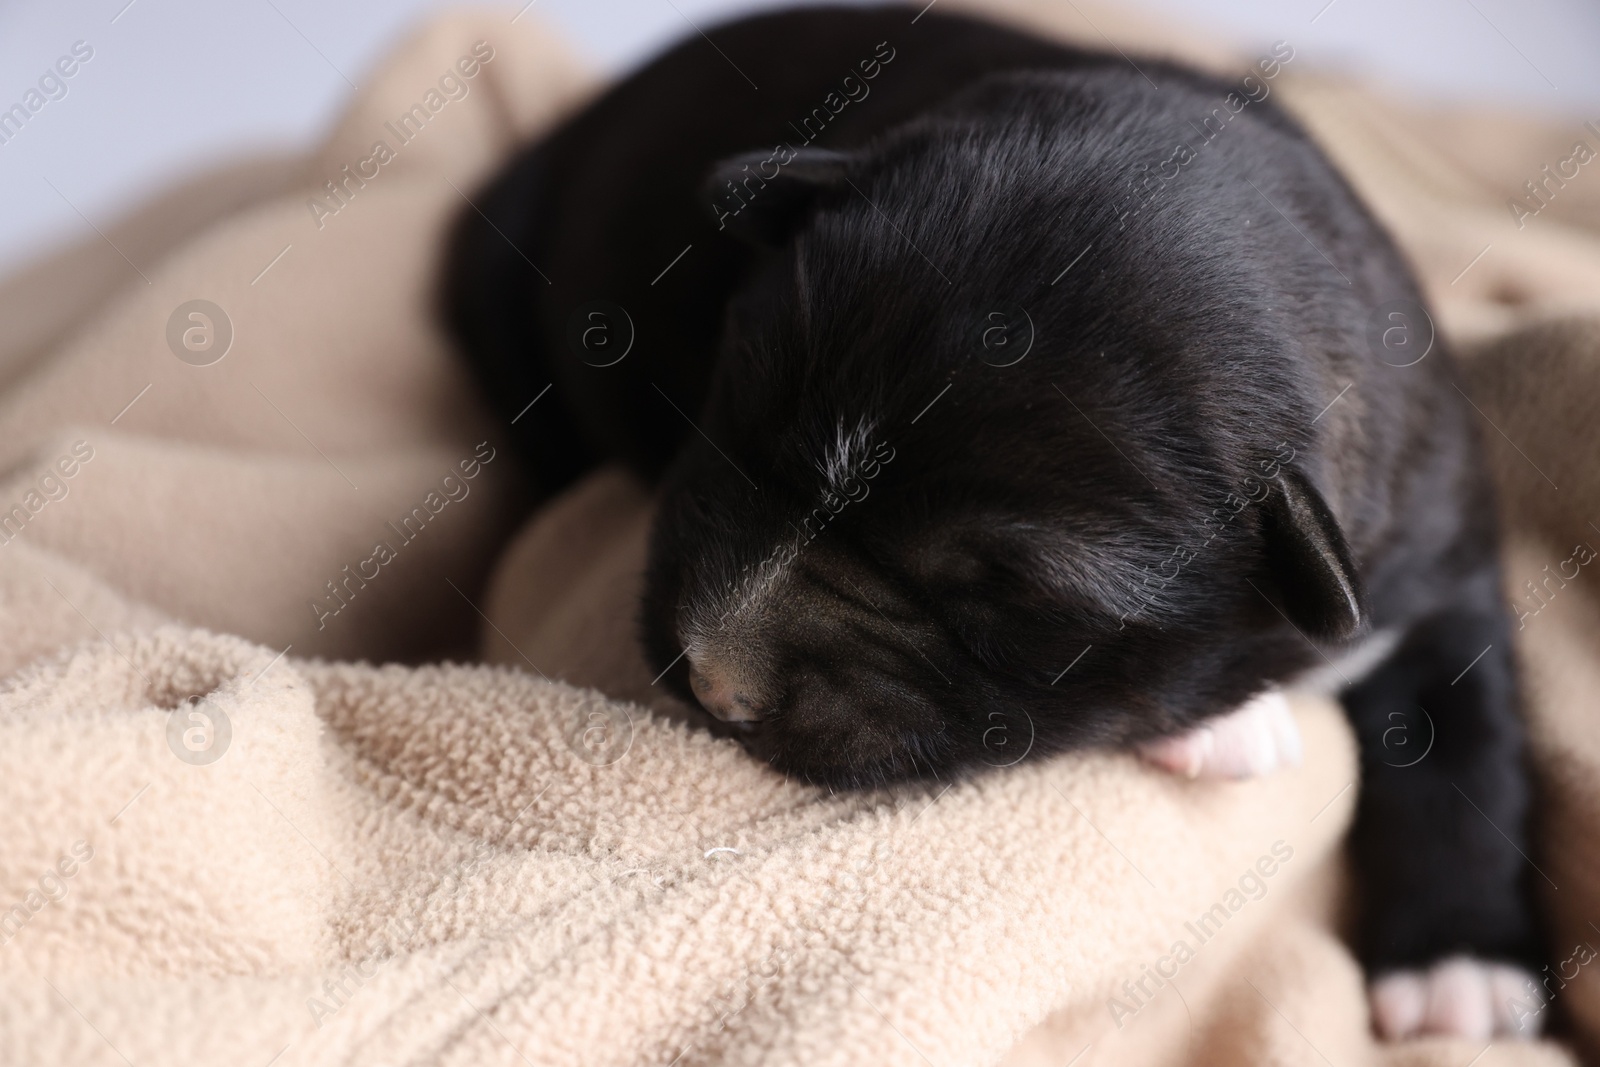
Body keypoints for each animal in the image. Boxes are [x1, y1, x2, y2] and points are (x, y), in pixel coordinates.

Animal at [444, 4, 1542, 1036]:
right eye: (734, 420)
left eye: (997, 600)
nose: (711, 679)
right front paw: (1237, 722)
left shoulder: (1439, 559)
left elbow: (1462, 739)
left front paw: (1459, 969)